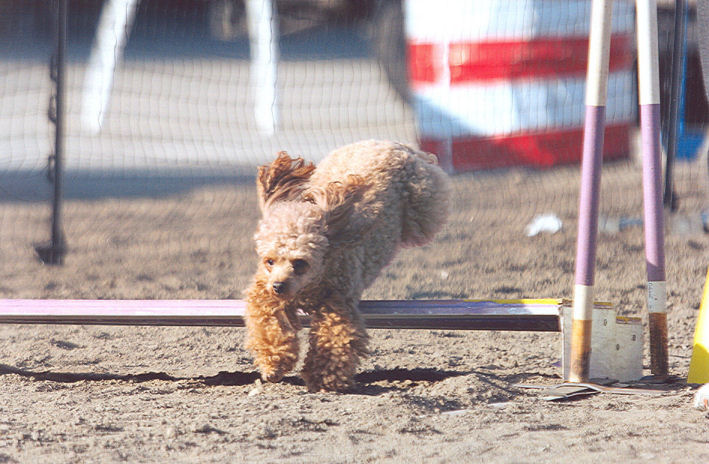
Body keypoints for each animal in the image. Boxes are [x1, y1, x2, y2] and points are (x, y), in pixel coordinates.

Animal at [244, 140, 451, 392]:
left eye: (300, 263)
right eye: (269, 260)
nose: (278, 286)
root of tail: (390, 143)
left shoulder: (338, 300)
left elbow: (334, 337)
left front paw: (323, 378)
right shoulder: (264, 292)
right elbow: (268, 323)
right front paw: (273, 364)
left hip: (423, 205)